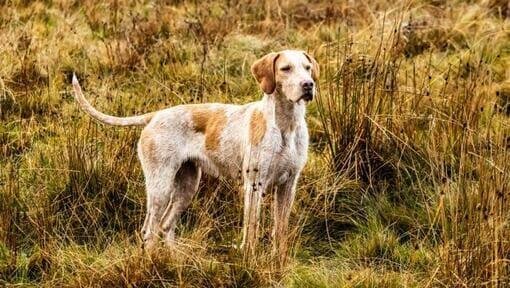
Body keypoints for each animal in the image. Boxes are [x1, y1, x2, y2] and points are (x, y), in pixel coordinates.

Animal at [71, 49, 318, 254]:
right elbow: (251, 231)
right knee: (149, 230)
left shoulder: (288, 187)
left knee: (166, 225)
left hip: (187, 187)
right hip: (160, 187)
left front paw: (278, 262)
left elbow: (280, 232)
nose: (308, 84)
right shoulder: (253, 186)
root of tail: (155, 116)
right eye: (285, 69)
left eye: (307, 67)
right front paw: (250, 260)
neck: (286, 125)